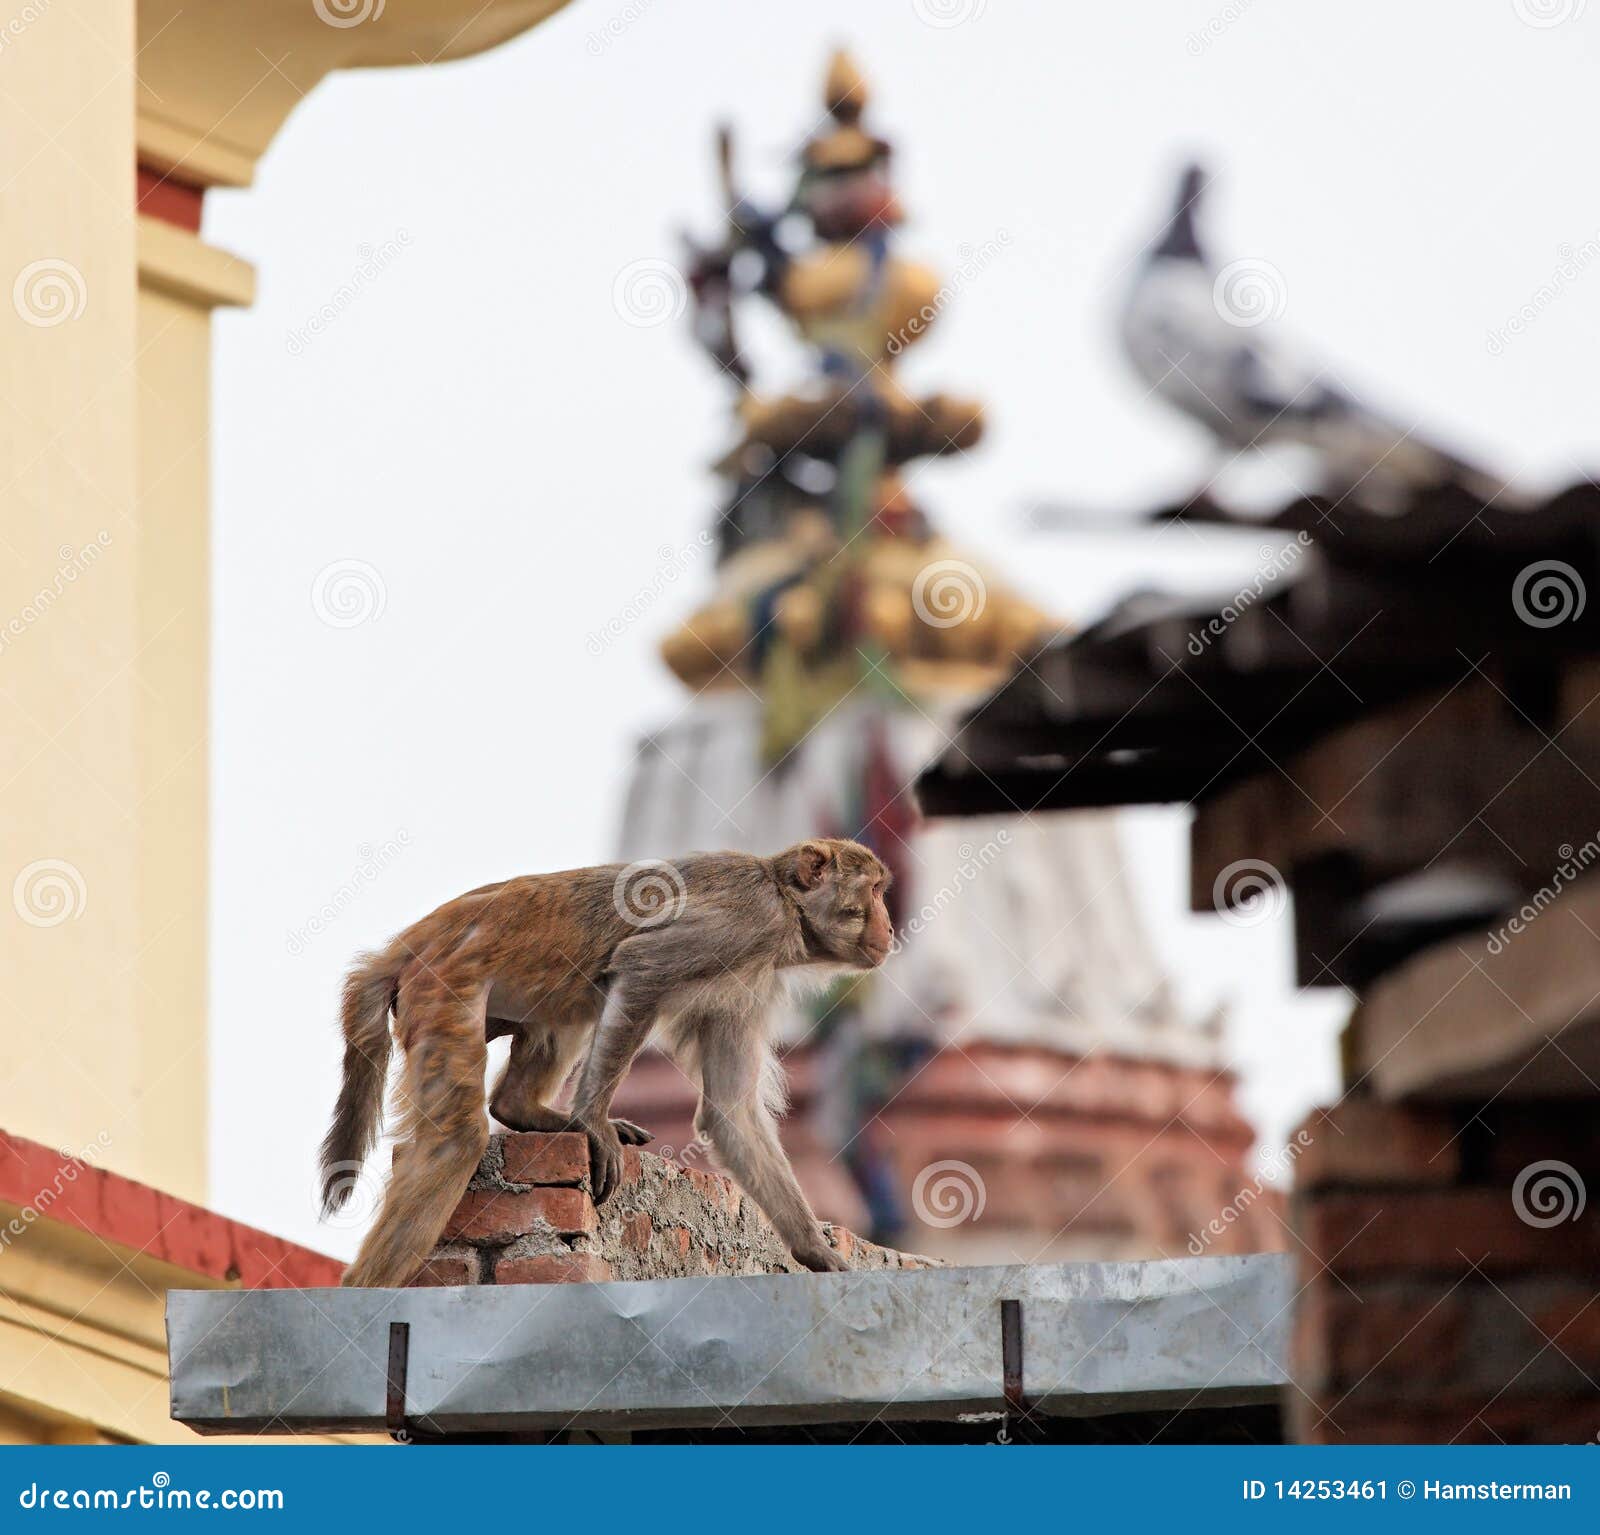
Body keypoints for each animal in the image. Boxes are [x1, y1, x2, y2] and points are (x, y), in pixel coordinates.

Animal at [320, 837, 893, 1288]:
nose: (890, 929)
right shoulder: (745, 924)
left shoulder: (747, 986)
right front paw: (592, 1123)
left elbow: (731, 1113)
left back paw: (523, 1108)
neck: (784, 903)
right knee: (454, 1140)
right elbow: (642, 967)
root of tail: (411, 940)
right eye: (876, 891)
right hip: (445, 985)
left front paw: (816, 1251)